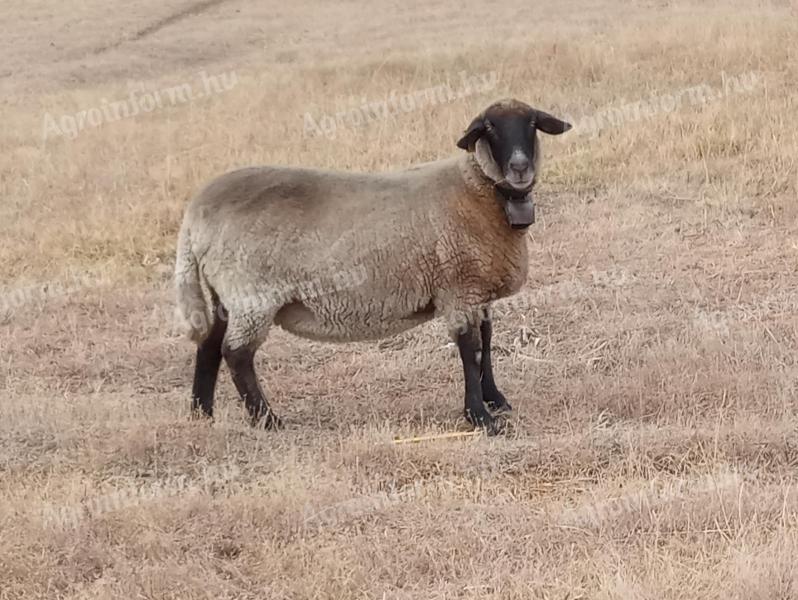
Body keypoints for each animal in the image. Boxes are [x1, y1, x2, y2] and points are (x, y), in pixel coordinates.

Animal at [177, 99, 572, 436]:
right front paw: (480, 418)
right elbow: (469, 350)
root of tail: (194, 214)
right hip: (251, 294)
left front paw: (495, 400)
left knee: (210, 344)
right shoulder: (458, 287)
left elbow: (486, 343)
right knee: (236, 353)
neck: (478, 190)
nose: (519, 168)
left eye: (532, 123)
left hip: (226, 292)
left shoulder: (477, 289)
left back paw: (202, 413)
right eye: (488, 128)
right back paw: (267, 420)